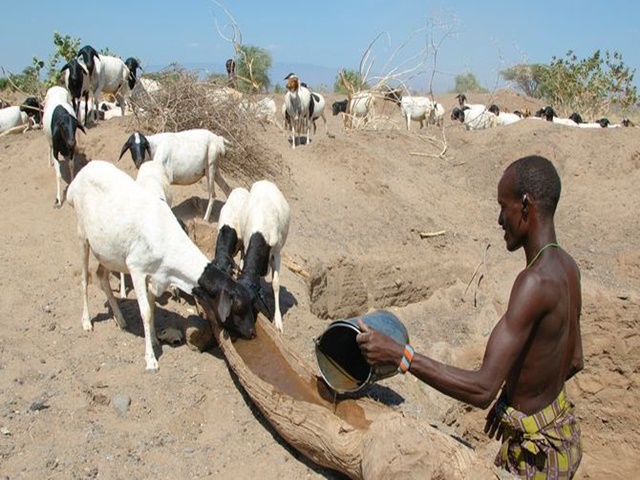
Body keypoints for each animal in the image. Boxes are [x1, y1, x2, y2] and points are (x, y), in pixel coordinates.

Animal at [65, 160, 255, 372]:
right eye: (238, 308)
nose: (252, 332)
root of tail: (79, 176)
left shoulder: (155, 276)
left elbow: (151, 308)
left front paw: (155, 340)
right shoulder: (137, 269)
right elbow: (145, 312)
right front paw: (151, 360)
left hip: (107, 251)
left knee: (101, 277)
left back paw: (121, 320)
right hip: (82, 235)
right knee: (84, 278)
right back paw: (86, 322)